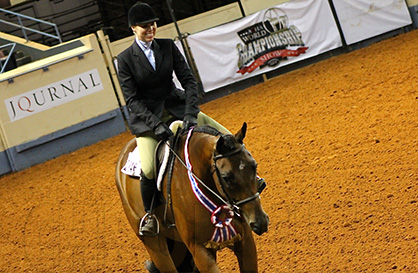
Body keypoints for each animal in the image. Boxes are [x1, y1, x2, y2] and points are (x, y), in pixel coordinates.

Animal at [116, 122, 270, 270]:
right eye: (226, 177)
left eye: (254, 165)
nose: (259, 222)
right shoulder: (199, 250)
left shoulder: (246, 242)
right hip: (155, 246)